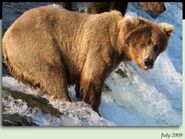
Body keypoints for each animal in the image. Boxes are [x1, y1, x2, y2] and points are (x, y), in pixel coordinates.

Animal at [2, 5, 173, 114]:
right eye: (143, 44)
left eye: (157, 45)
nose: (148, 61)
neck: (118, 44)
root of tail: (5, 37)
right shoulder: (99, 46)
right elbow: (92, 79)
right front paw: (94, 108)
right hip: (37, 46)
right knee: (53, 75)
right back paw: (65, 100)